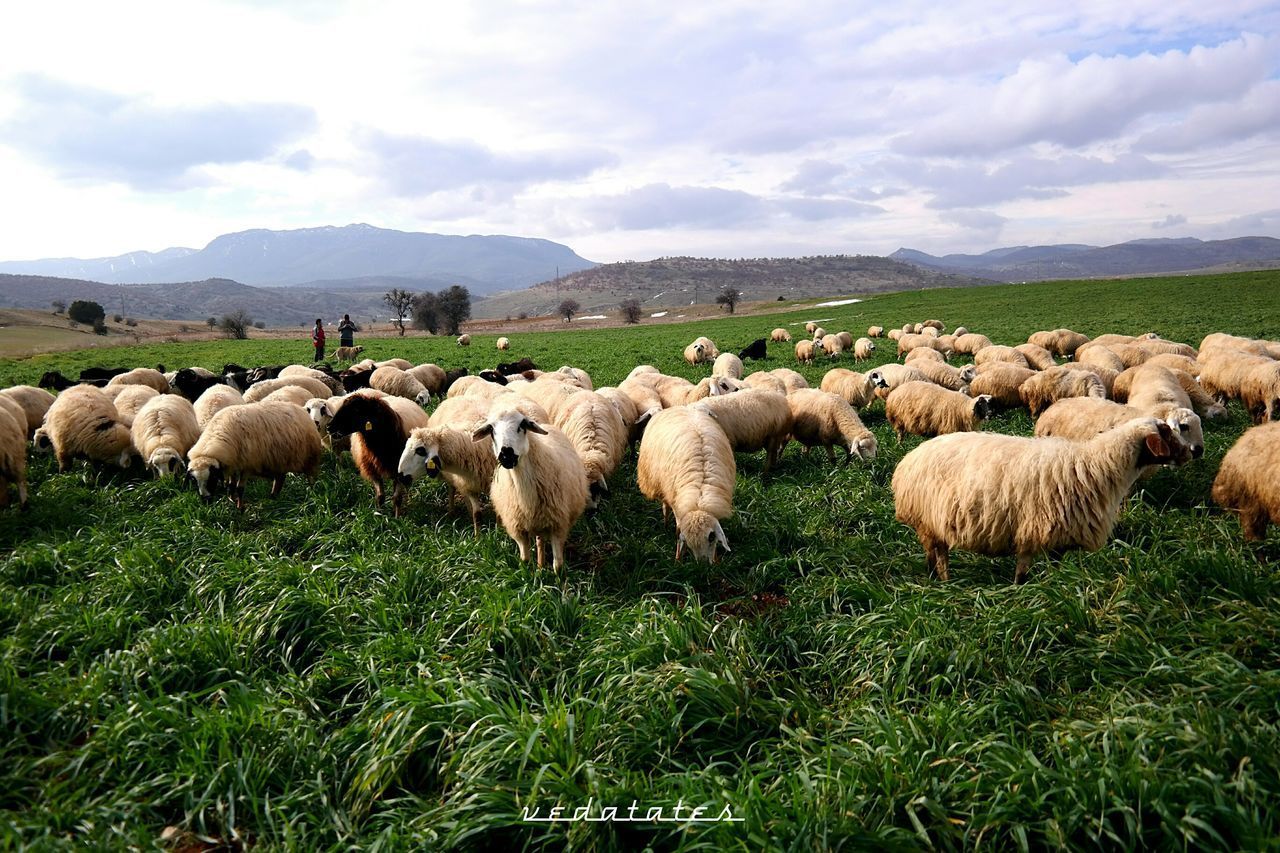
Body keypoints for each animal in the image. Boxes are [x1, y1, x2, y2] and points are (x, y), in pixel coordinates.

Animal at [471, 394, 588, 568]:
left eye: (522, 425)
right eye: (491, 429)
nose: (506, 454)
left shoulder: (558, 526)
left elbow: (558, 565)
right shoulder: (518, 530)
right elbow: (524, 561)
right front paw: (531, 572)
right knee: (539, 540)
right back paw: (540, 565)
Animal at [637, 402, 737, 560]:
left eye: (711, 537)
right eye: (689, 543)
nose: (703, 563)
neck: (699, 498)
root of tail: (680, 407)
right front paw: (678, 559)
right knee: (665, 505)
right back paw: (665, 523)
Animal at [890, 417, 1187, 581]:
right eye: (1166, 433)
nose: (1190, 453)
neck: (1098, 465)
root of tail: (909, 459)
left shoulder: (1060, 538)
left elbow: (1054, 569)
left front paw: (1053, 586)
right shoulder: (1032, 530)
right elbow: (1022, 575)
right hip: (928, 522)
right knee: (936, 557)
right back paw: (941, 583)